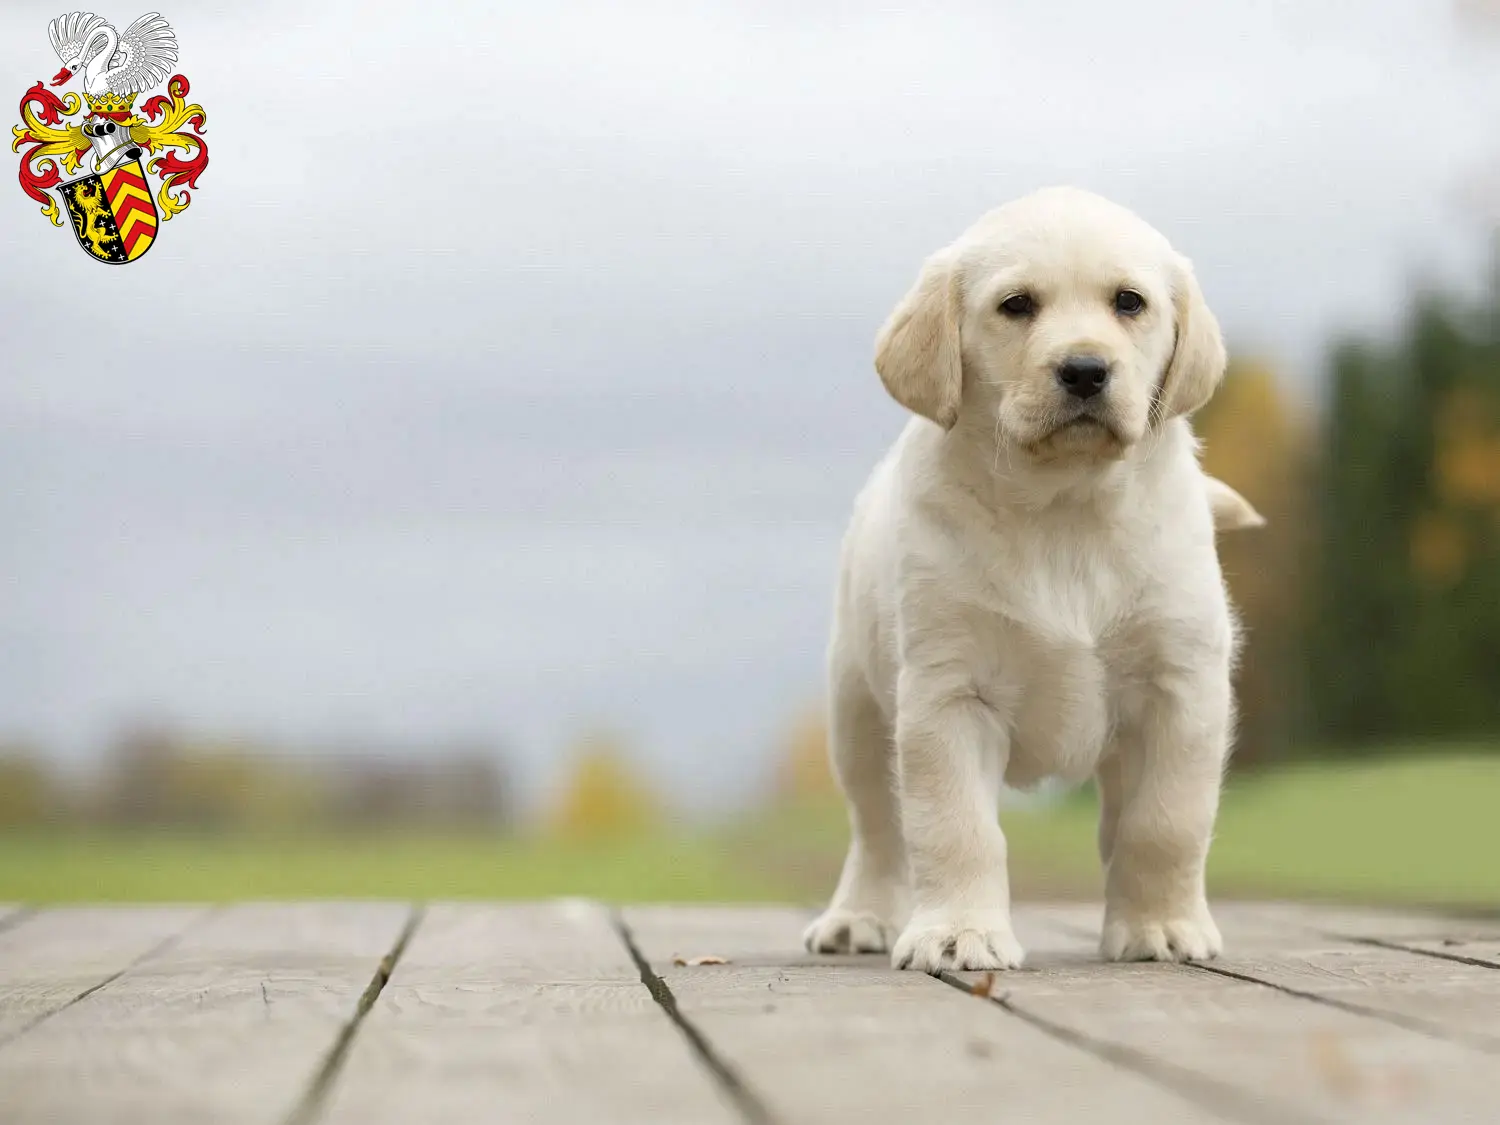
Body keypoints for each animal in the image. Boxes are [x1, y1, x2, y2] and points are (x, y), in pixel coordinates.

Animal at [804, 187, 1248, 978]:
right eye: (1016, 305)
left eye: (1129, 302)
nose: (1085, 369)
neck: (1065, 506)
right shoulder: (948, 692)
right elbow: (955, 827)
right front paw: (958, 933)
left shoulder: (1182, 686)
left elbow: (1165, 822)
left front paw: (1161, 924)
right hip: (855, 706)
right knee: (876, 829)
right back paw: (856, 917)